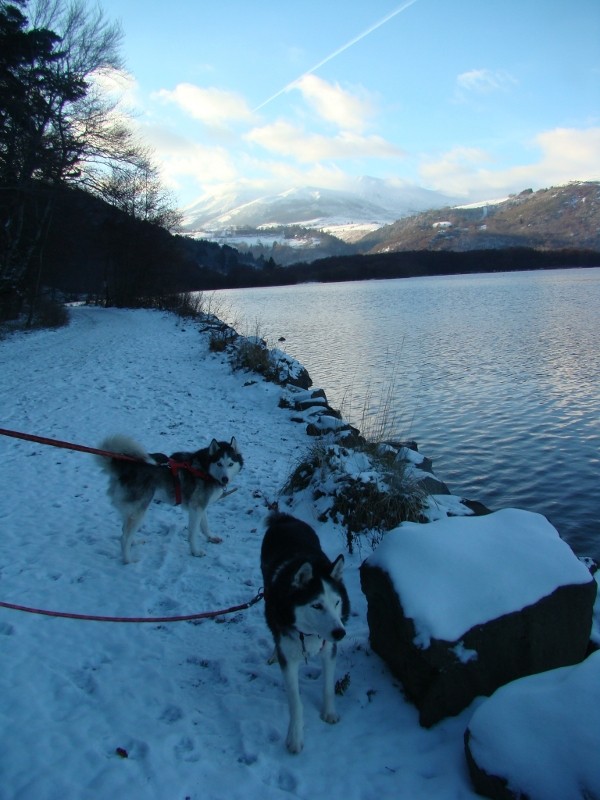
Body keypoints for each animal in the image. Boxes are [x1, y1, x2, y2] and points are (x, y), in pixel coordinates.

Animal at [97, 438, 243, 564]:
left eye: (230, 464)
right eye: (219, 463)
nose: (225, 479)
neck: (205, 469)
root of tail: (126, 467)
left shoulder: (200, 506)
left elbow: (205, 526)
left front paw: (211, 538)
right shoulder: (196, 508)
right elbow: (193, 533)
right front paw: (195, 551)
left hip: (131, 511)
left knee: (124, 531)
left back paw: (135, 542)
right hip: (139, 511)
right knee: (124, 539)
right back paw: (128, 560)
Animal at [260, 516, 350, 752]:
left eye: (336, 602)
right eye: (317, 605)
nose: (340, 633)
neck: (309, 633)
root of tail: (285, 518)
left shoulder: (329, 650)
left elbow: (328, 687)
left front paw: (329, 713)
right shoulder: (289, 659)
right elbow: (296, 703)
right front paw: (294, 737)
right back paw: (273, 653)